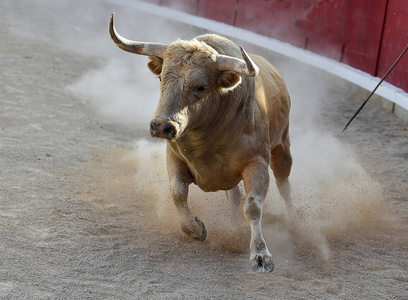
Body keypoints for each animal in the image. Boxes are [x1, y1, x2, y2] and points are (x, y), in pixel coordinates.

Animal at [108, 13, 294, 272]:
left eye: (201, 86)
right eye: (161, 77)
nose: (162, 126)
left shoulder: (257, 163)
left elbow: (253, 206)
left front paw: (260, 255)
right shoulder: (174, 157)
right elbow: (177, 193)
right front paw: (196, 229)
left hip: (282, 147)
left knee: (284, 184)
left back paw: (297, 224)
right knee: (234, 196)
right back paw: (232, 226)